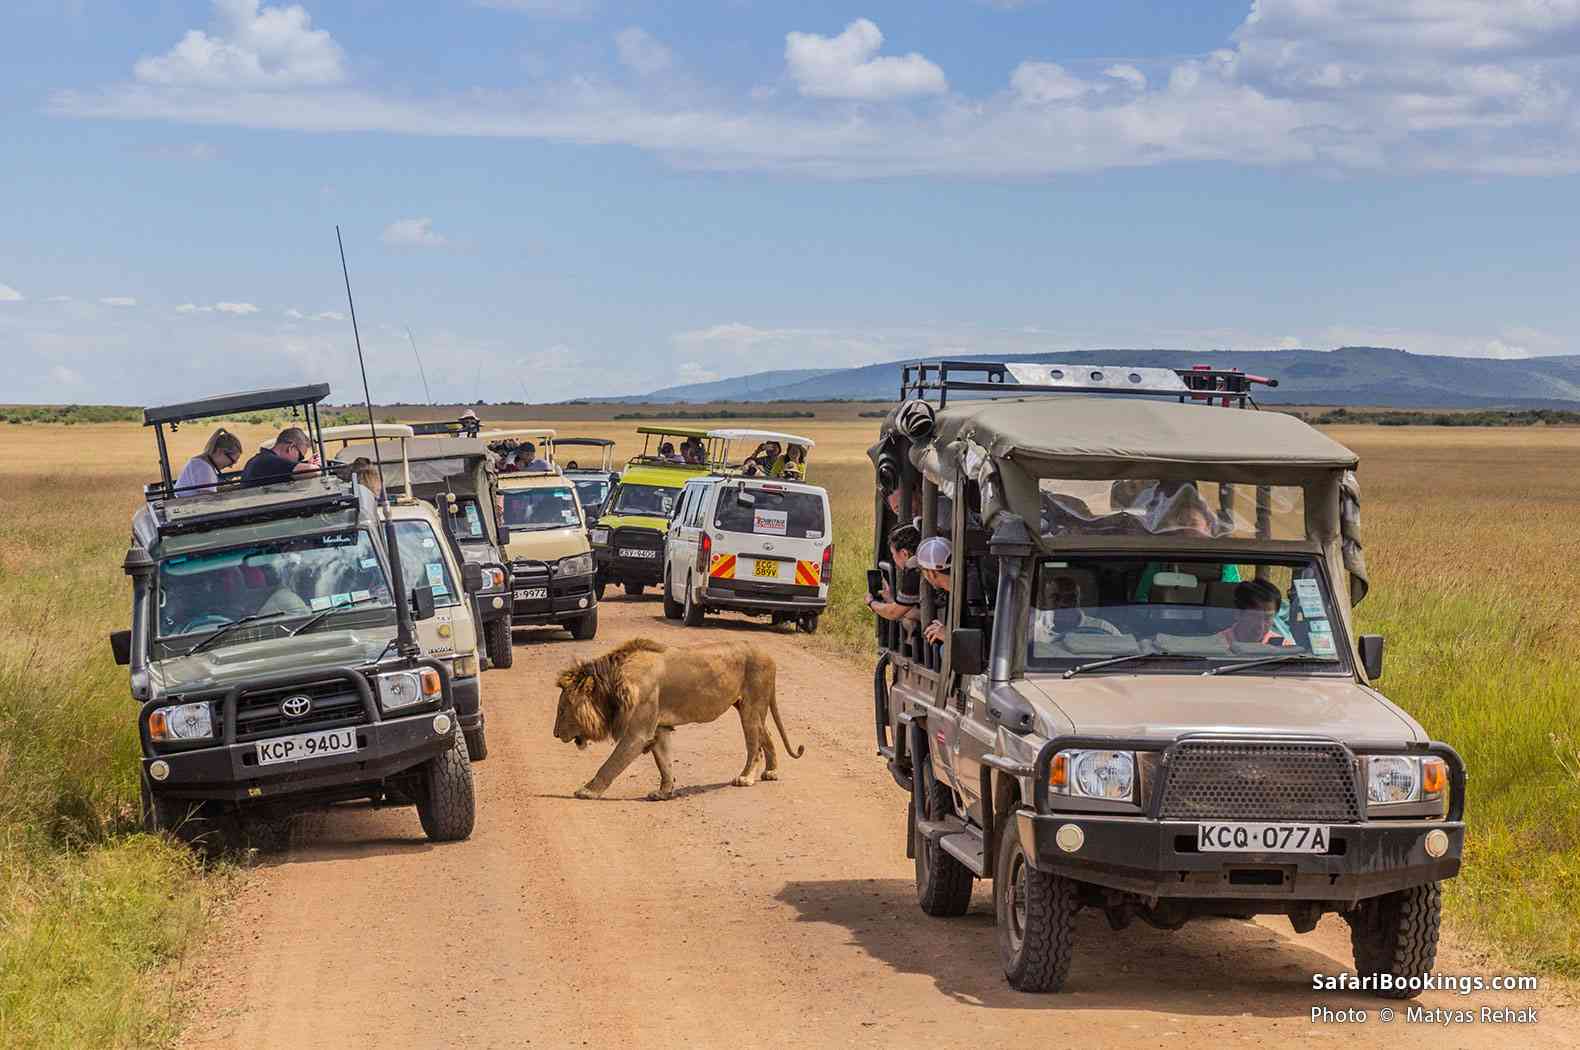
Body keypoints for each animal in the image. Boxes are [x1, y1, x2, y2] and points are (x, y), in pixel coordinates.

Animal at [553, 638, 804, 800]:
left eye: (562, 710)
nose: (555, 734)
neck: (613, 684)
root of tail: (767, 653)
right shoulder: (659, 728)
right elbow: (665, 762)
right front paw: (663, 792)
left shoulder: (638, 733)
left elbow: (611, 764)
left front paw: (587, 791)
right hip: (747, 706)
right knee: (766, 734)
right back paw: (771, 772)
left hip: (752, 707)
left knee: (754, 744)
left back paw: (746, 777)